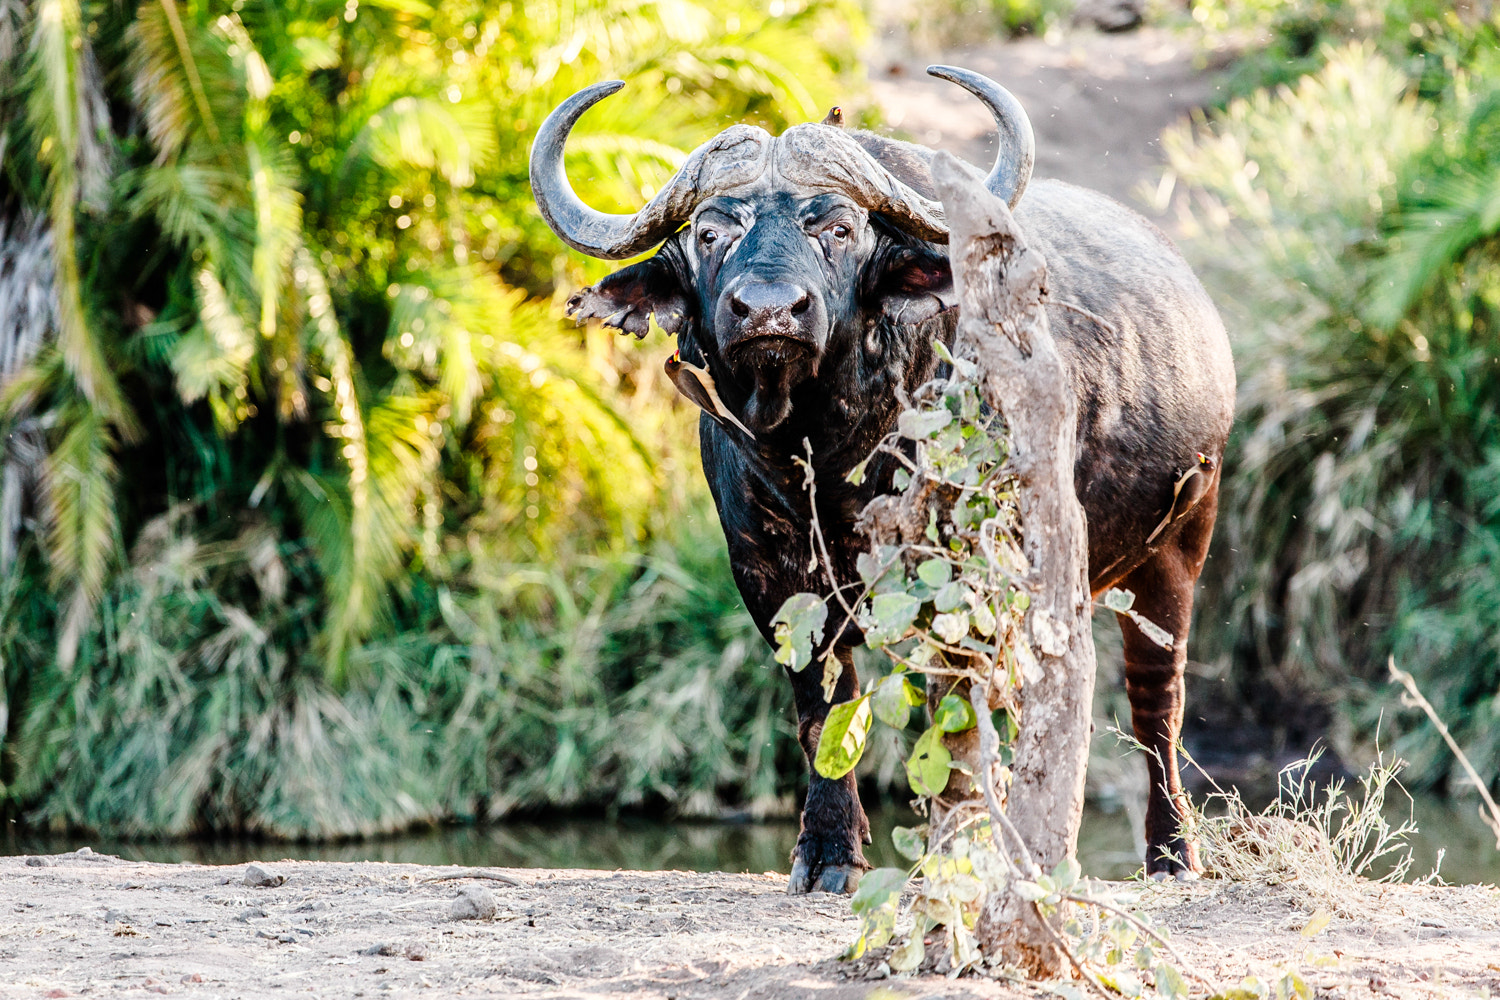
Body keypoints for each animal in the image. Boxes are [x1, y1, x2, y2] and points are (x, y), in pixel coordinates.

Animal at [530, 67, 1235, 892]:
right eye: (711, 232)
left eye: (838, 228)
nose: (769, 311)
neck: (826, 452)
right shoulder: (770, 576)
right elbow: (823, 705)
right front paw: (831, 851)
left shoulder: (959, 569)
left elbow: (951, 701)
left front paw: (954, 844)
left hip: (1179, 549)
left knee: (1159, 703)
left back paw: (1171, 854)